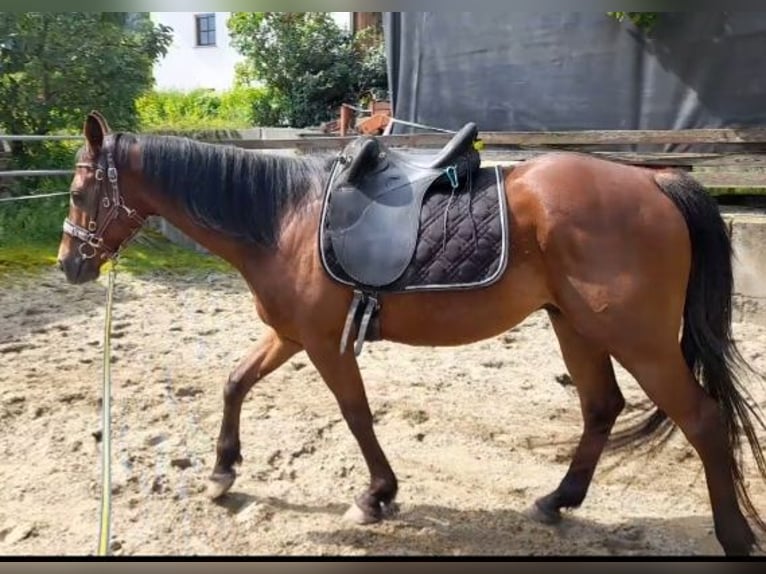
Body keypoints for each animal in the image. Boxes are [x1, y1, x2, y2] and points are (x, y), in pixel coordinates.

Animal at [58, 112, 766, 560]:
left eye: (78, 191)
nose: (69, 265)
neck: (284, 219)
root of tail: (653, 180)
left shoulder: (323, 343)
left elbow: (356, 413)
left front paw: (376, 496)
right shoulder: (291, 334)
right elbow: (235, 382)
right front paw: (222, 471)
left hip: (639, 338)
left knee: (702, 418)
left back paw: (733, 536)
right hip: (577, 326)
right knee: (602, 408)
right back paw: (557, 501)